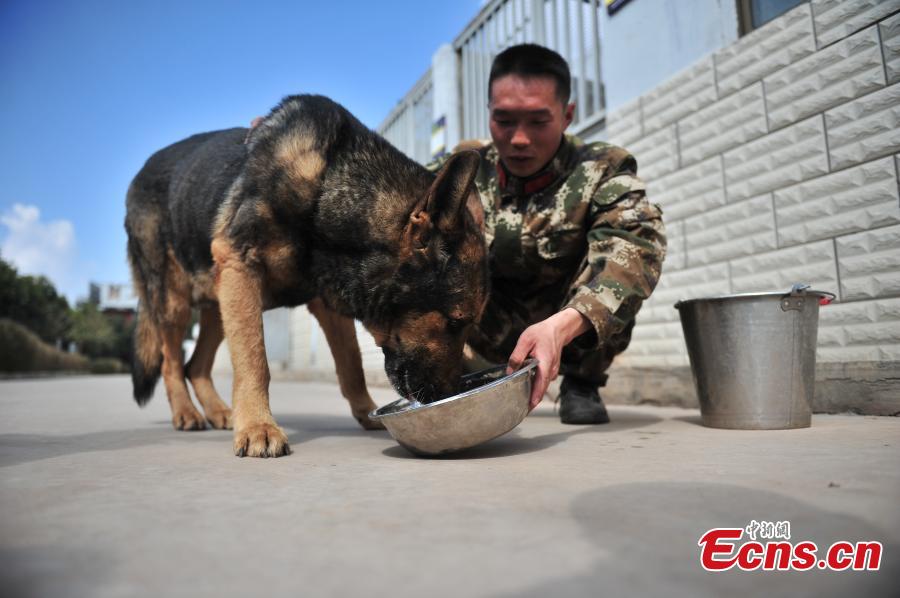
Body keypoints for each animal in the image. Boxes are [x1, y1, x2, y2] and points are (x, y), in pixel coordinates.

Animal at [124, 94, 488, 460]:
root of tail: (138, 174)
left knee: (195, 366)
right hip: (176, 302)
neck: (326, 191)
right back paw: (187, 413)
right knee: (172, 364)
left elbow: (352, 366)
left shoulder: (325, 303)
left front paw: (366, 411)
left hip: (217, 304)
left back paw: (219, 412)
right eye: (455, 322)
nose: (450, 393)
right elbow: (254, 361)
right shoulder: (241, 265)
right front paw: (257, 426)